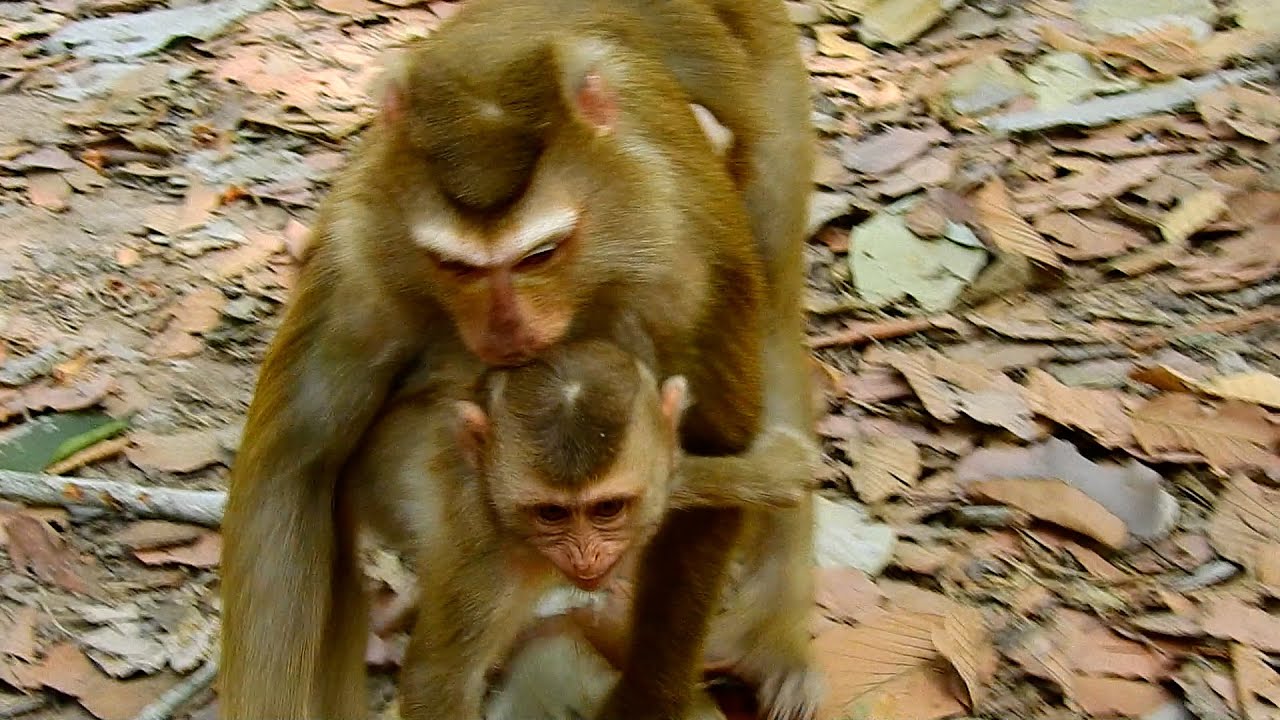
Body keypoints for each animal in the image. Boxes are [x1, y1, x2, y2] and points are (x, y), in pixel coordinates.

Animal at [217, 0, 817, 718]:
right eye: (457, 267)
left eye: (539, 256)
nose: (508, 331)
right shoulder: (364, 256)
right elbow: (298, 468)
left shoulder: (684, 258)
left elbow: (713, 443)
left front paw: (647, 698)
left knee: (773, 301)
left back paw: (775, 634)